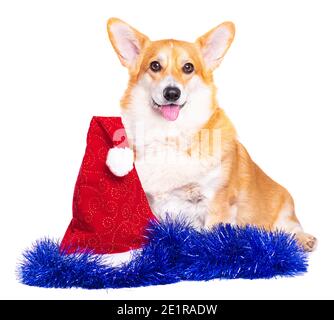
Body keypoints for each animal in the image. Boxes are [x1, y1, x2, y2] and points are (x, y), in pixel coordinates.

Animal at [107, 18, 316, 252]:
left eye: (188, 67)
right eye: (155, 66)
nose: (172, 93)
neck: (171, 136)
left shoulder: (216, 202)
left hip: (284, 207)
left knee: (288, 229)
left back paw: (303, 239)